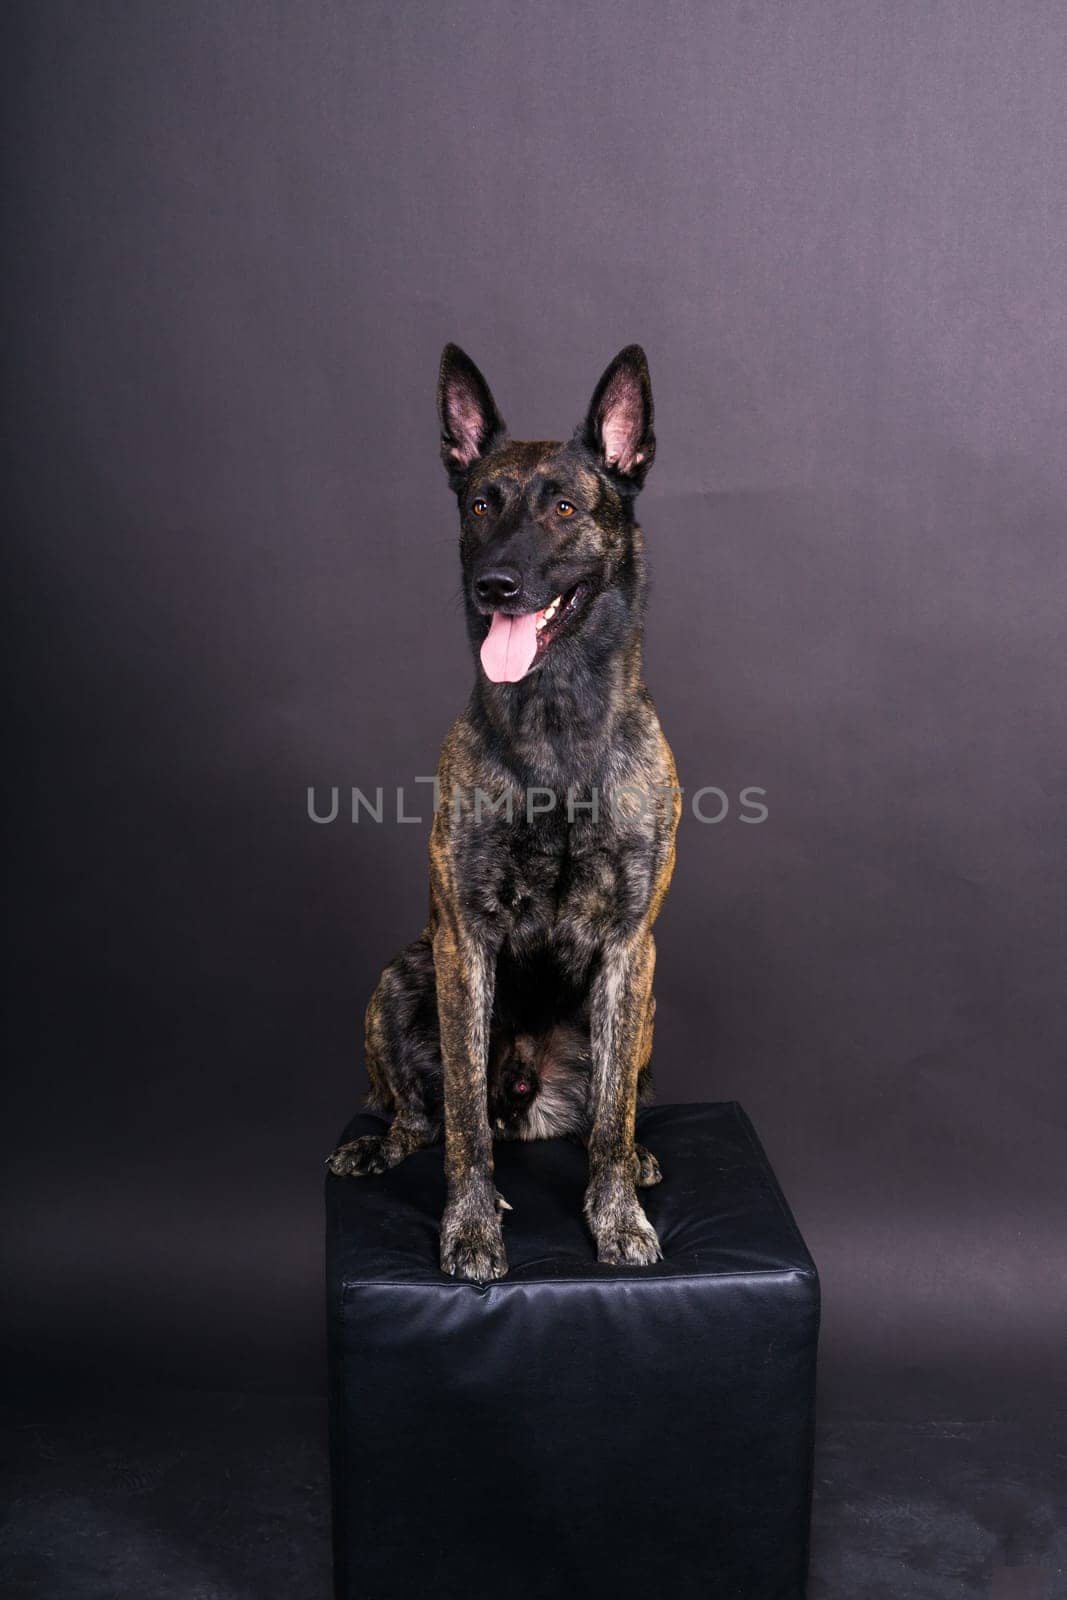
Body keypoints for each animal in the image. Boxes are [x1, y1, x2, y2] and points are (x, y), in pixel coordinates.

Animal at [326, 344, 681, 1280]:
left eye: (563, 508)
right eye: (482, 504)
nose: (495, 585)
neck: (556, 721)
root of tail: (525, 1095)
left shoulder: (629, 946)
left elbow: (609, 1119)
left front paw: (616, 1217)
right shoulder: (464, 941)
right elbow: (461, 1131)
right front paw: (472, 1228)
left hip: (641, 1007)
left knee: (611, 1107)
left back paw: (638, 1157)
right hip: (399, 980)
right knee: (423, 1114)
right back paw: (378, 1144)